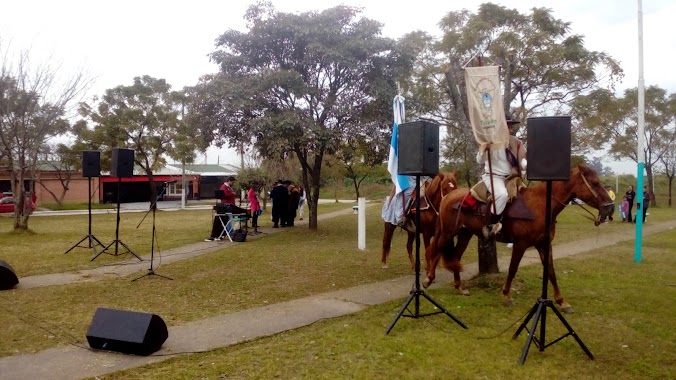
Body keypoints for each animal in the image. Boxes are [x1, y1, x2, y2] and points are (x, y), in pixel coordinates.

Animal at [426, 165, 616, 314]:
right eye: (594, 183)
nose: (610, 208)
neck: (540, 205)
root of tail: (447, 197)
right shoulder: (520, 244)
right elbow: (512, 269)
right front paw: (506, 296)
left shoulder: (544, 245)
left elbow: (551, 272)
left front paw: (562, 302)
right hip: (448, 232)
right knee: (436, 251)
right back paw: (428, 279)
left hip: (465, 234)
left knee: (455, 256)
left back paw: (460, 287)